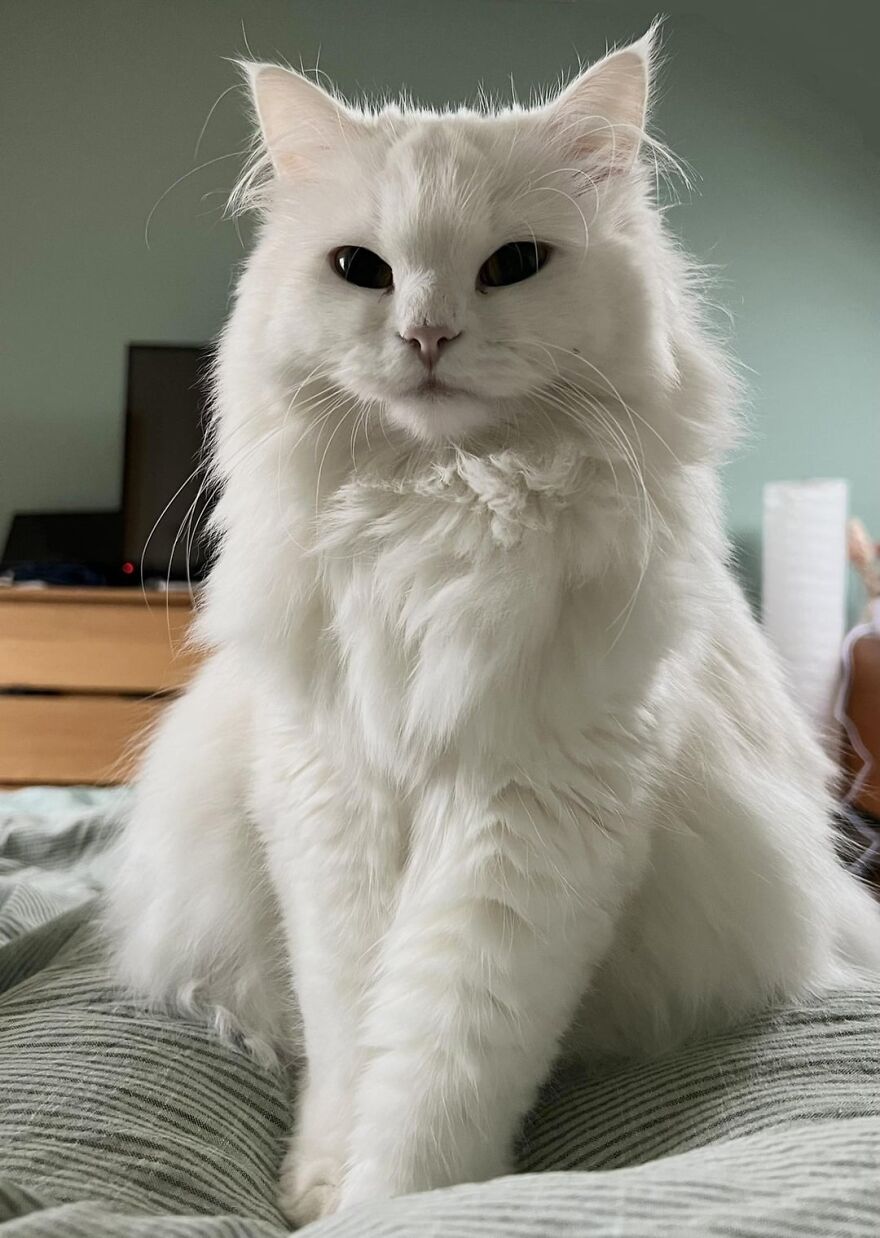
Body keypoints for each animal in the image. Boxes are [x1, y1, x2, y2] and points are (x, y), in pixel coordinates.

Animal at [108, 29, 880, 1228]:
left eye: (513, 265)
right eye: (361, 270)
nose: (427, 334)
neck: (443, 503)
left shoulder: (528, 819)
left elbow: (441, 1057)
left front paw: (395, 1200)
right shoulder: (333, 811)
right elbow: (353, 1034)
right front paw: (321, 1185)